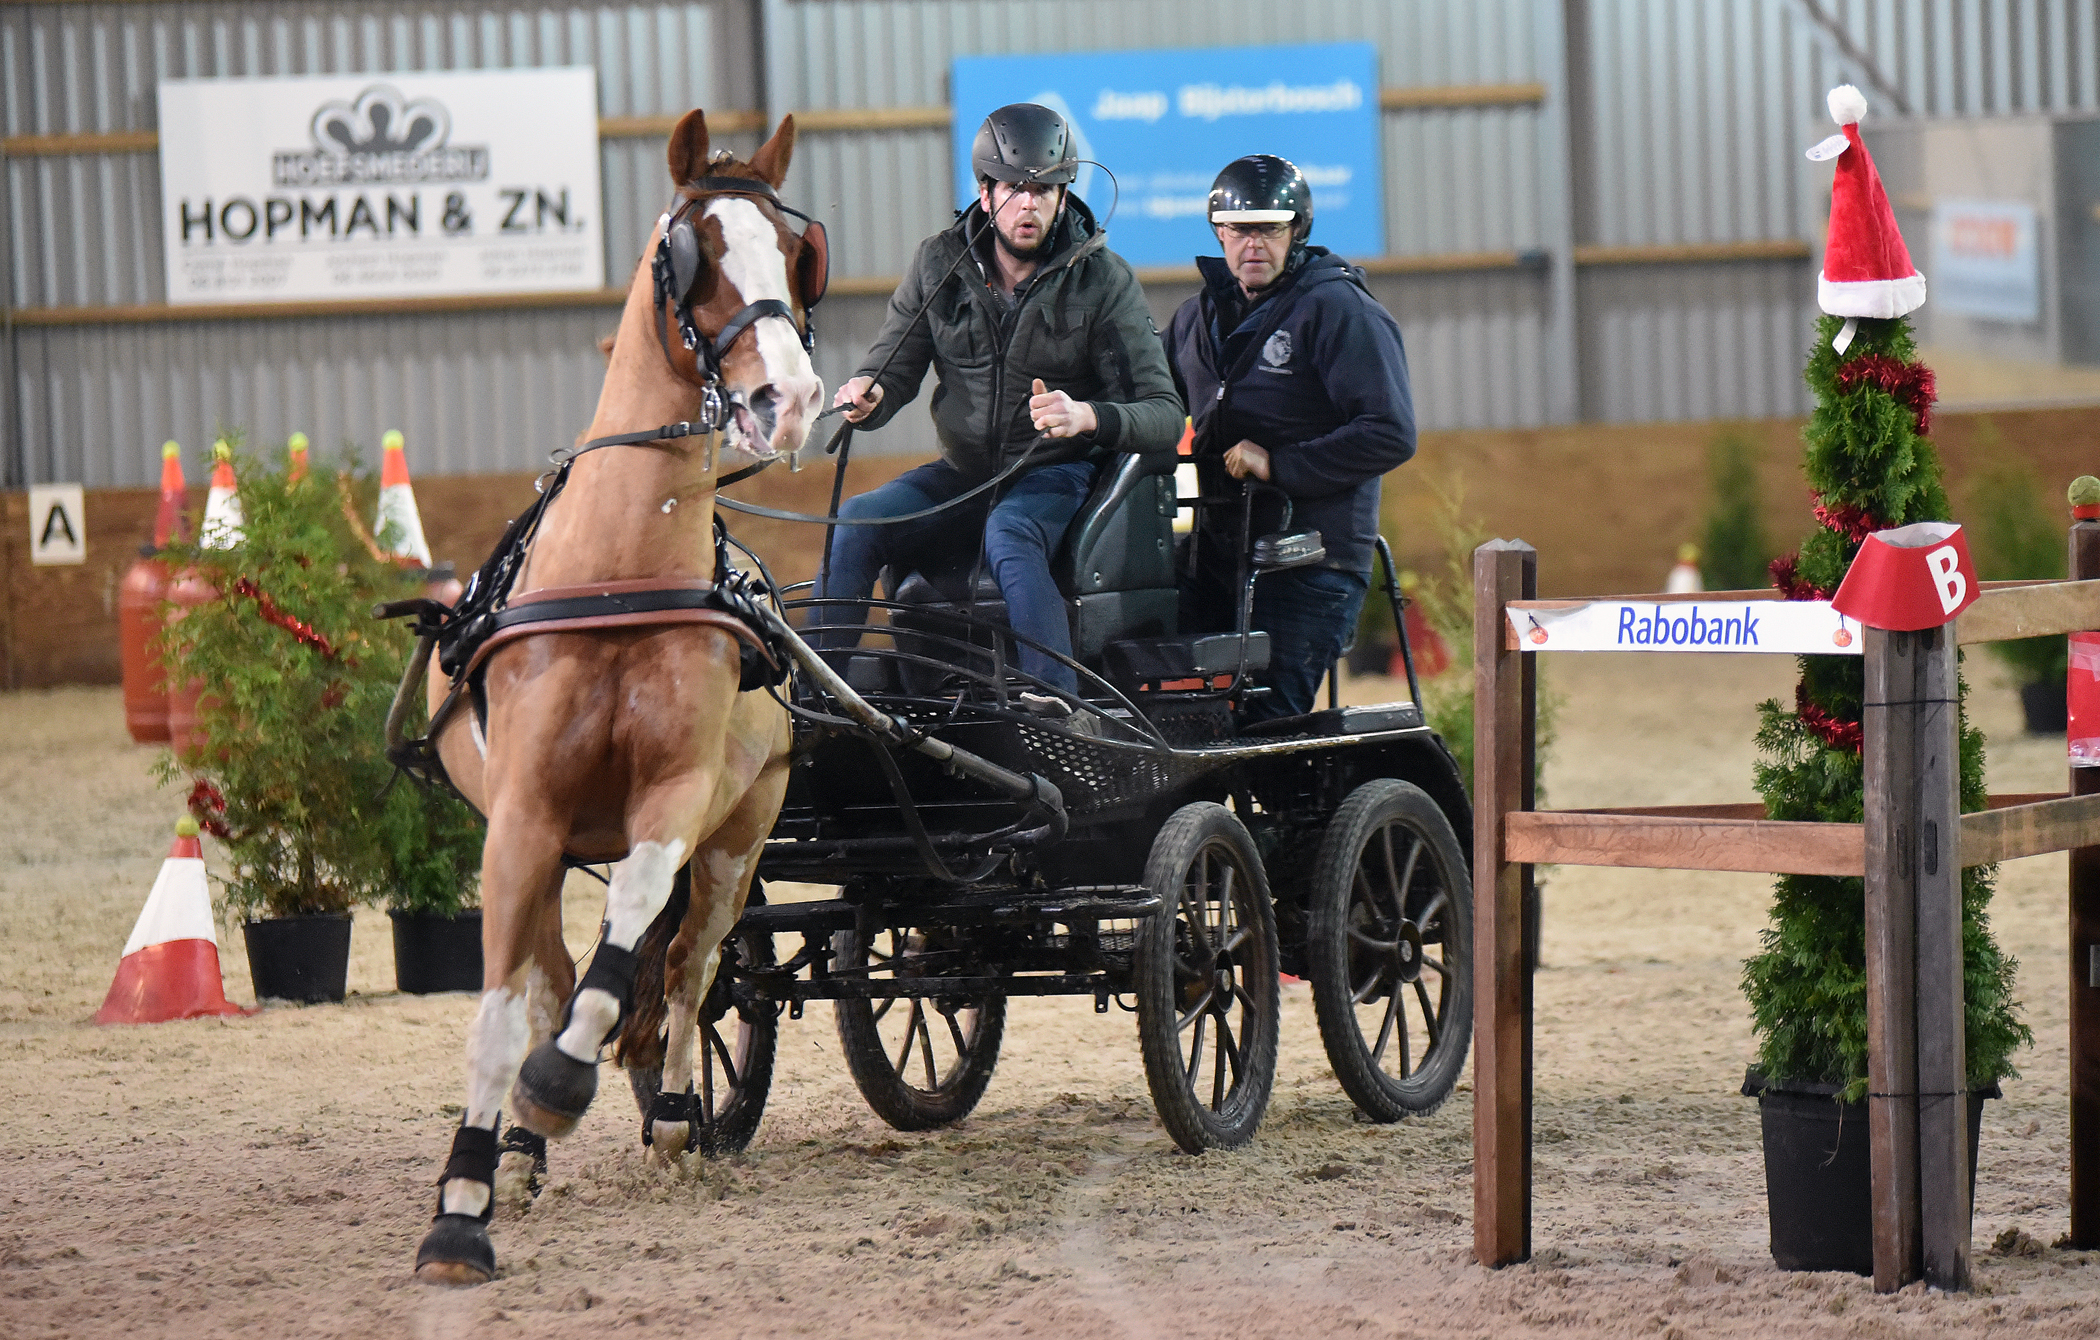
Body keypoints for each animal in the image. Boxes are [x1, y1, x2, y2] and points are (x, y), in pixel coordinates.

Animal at [413, 110, 823, 1285]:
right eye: (694, 251)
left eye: (795, 253)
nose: (792, 398)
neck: (617, 575)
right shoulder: (521, 819)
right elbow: (508, 1005)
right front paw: (465, 1201)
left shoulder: (678, 801)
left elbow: (636, 935)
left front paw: (563, 1083)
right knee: (555, 973)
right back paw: (518, 1152)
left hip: (743, 835)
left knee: (691, 968)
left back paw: (677, 1117)